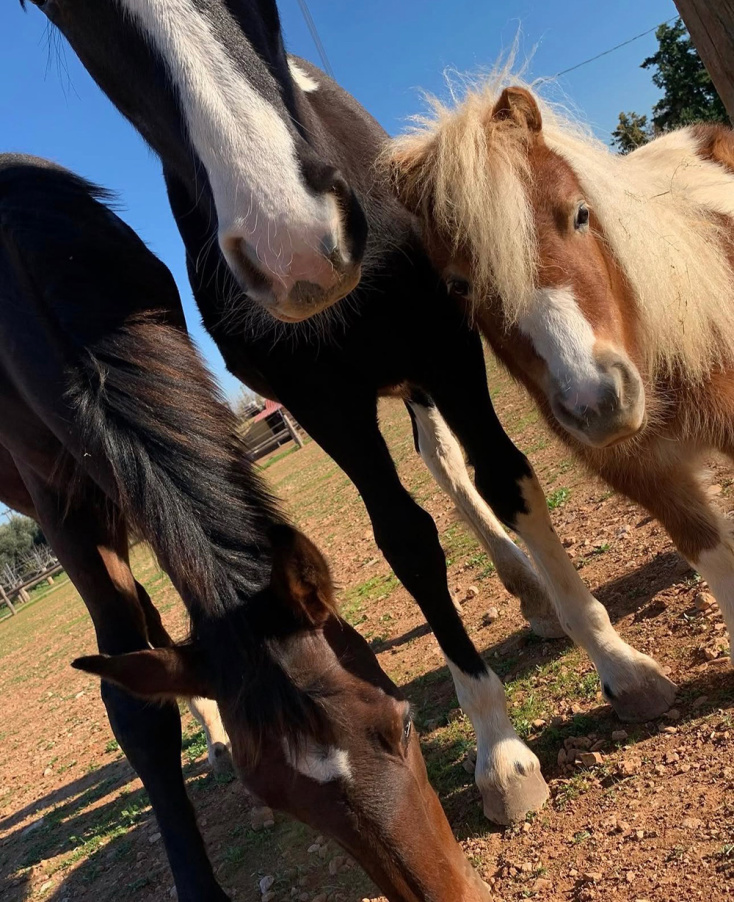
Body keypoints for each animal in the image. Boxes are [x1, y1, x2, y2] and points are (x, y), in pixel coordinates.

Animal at [20, 0, 676, 827]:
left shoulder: (446, 348)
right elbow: (407, 540)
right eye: (64, 13)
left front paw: (620, 664)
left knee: (455, 468)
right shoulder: (324, 404)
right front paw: (500, 750)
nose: (294, 244)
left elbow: (507, 480)